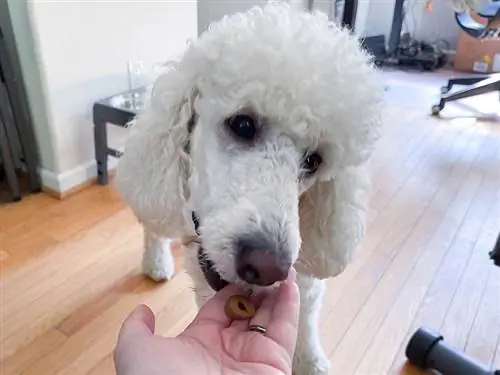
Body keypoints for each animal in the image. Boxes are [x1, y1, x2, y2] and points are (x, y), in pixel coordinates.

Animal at [114, 2, 382, 374]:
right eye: (242, 124)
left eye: (314, 160)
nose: (266, 267)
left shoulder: (305, 270)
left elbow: (307, 316)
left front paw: (310, 360)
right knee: (154, 222)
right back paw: (156, 261)